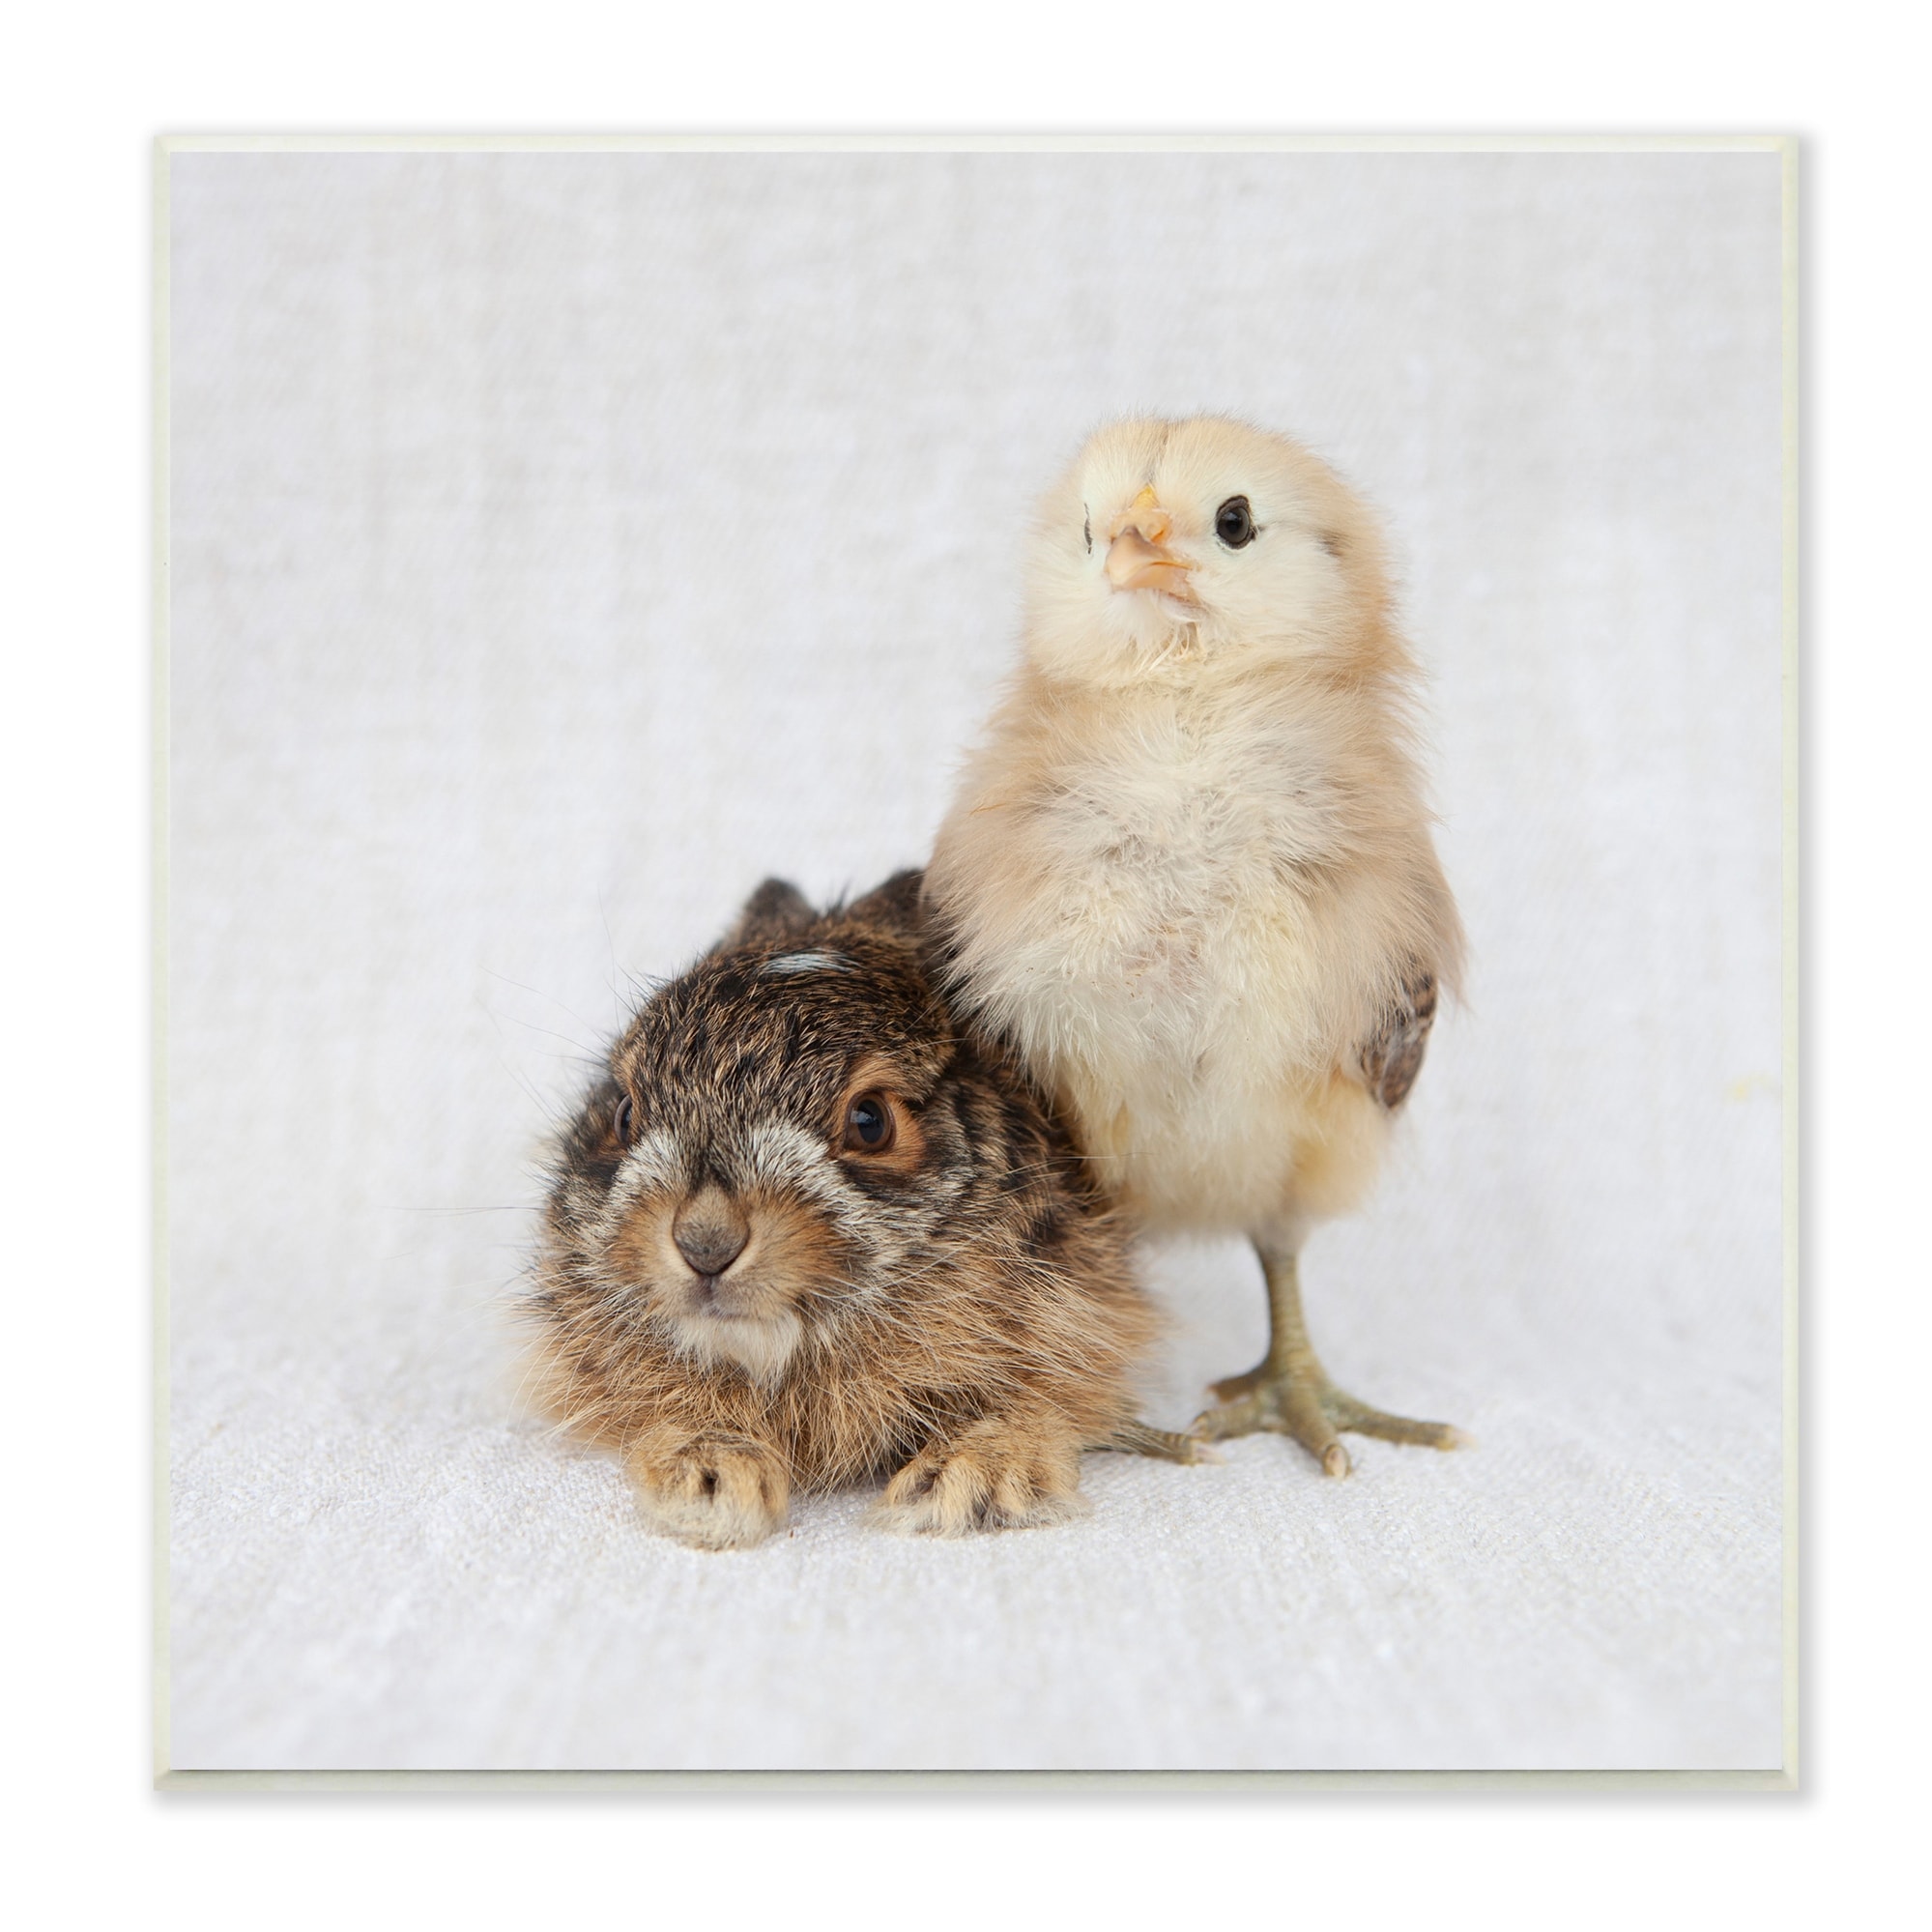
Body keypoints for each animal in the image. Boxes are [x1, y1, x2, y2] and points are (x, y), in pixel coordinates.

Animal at [526, 869, 1186, 1550]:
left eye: (870, 1122)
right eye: (625, 1113)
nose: (706, 1243)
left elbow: (1038, 1402)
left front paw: (965, 1484)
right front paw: (712, 1484)